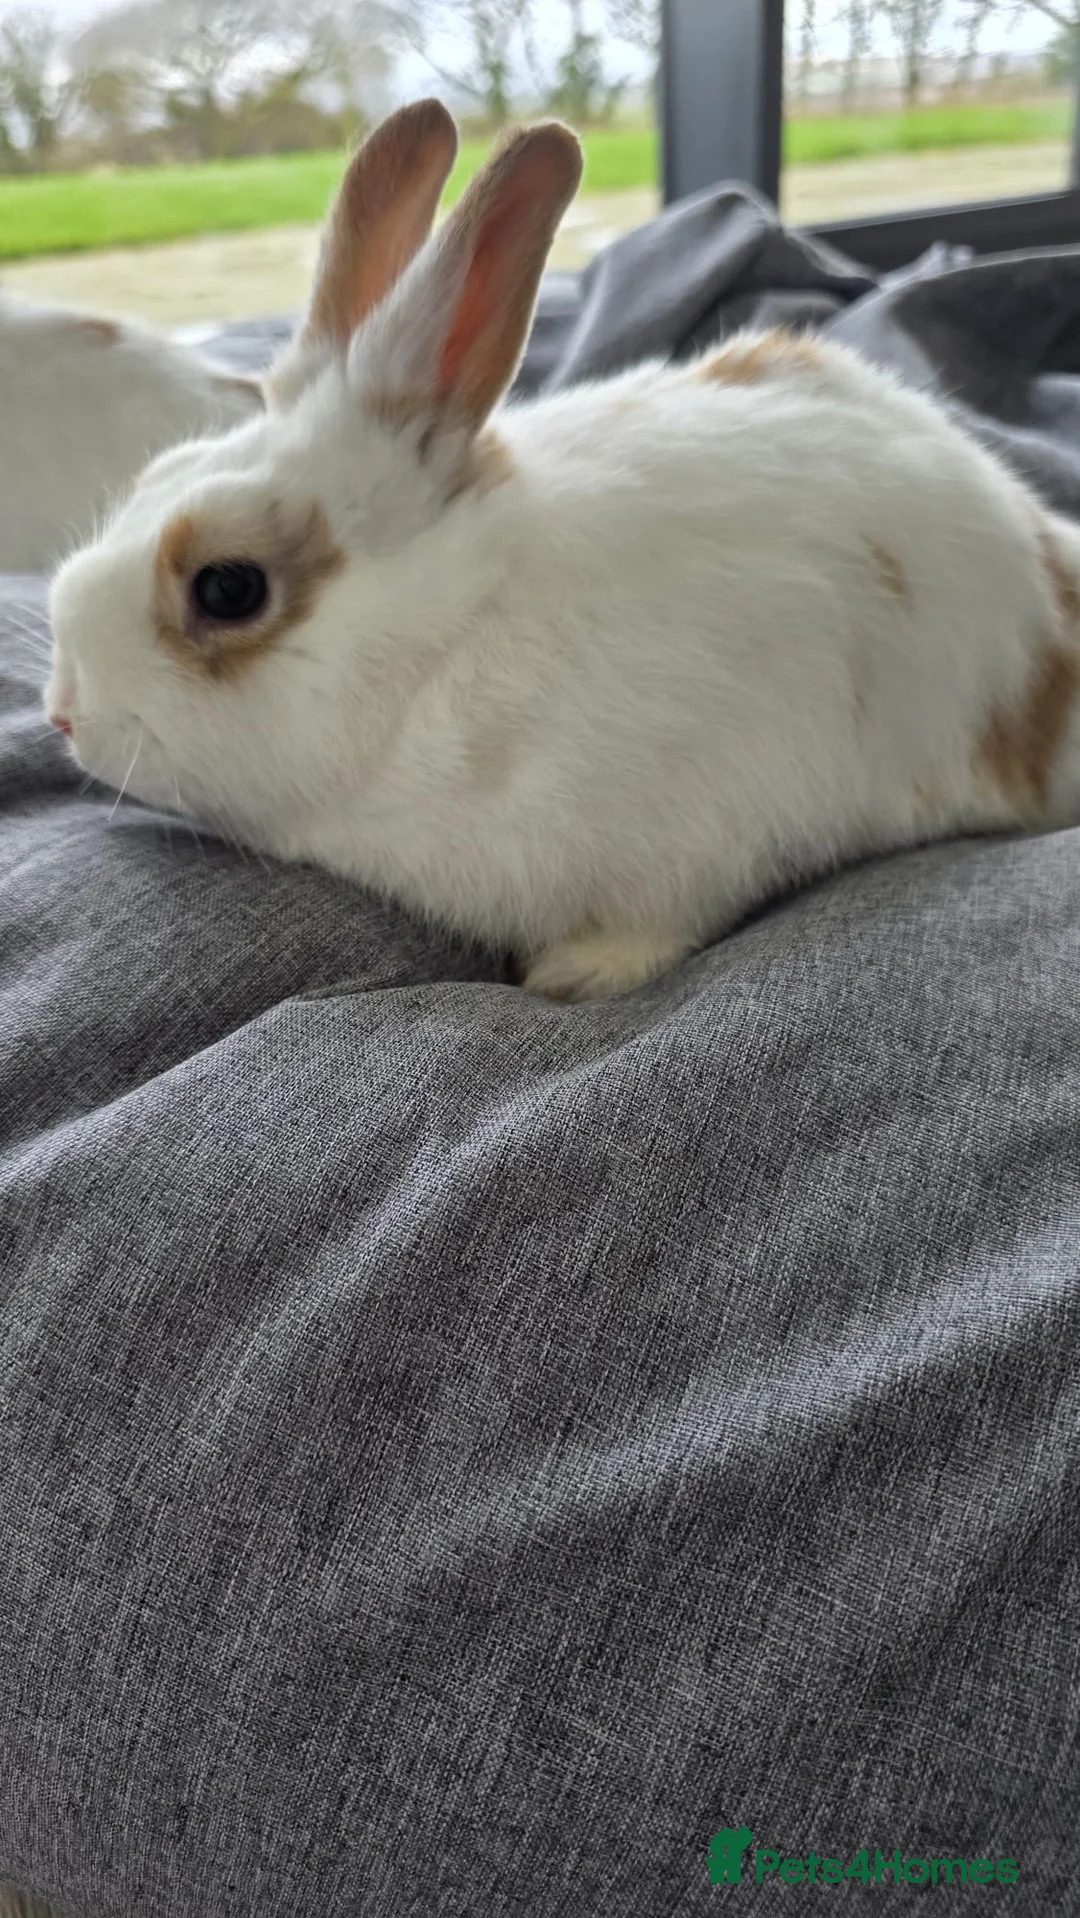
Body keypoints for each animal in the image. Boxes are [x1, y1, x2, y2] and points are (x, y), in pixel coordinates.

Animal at [44, 97, 1080, 1003]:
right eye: (156, 472)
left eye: (227, 588)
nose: (61, 714)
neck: (448, 640)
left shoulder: (702, 833)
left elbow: (653, 926)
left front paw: (573, 978)